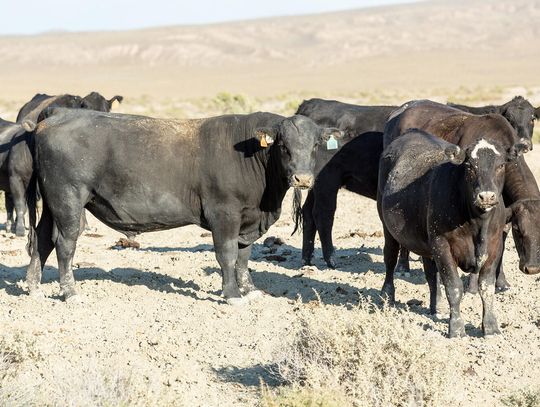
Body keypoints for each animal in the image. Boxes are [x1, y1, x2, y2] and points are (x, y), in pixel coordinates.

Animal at [24, 110, 342, 304]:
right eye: (284, 147)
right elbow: (227, 256)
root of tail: (49, 120)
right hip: (68, 199)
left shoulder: (248, 219)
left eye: (315, 145)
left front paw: (250, 290)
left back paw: (34, 288)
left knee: (43, 240)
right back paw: (70, 292)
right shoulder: (224, 214)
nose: (303, 179)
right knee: (65, 244)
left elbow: (243, 257)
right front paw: (232, 294)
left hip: (53, 204)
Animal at [378, 130, 524, 338]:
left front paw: (491, 327)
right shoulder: (442, 244)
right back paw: (387, 296)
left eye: (501, 165)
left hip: (426, 241)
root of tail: (413, 133)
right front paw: (456, 328)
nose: (486, 196)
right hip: (387, 226)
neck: (478, 224)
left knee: (431, 275)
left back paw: (436, 307)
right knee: (390, 259)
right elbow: (454, 287)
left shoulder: (495, 247)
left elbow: (486, 287)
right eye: (470, 166)